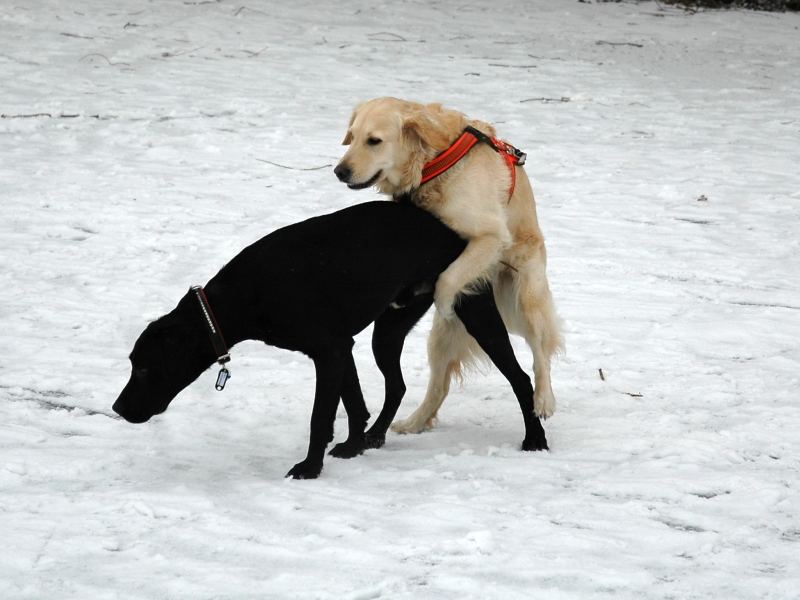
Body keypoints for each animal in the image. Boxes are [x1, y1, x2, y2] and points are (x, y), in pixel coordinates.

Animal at [112, 202, 548, 478]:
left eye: (145, 368)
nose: (117, 408)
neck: (240, 296)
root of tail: (454, 233)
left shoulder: (329, 351)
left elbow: (321, 416)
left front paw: (310, 468)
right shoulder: (343, 348)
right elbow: (354, 405)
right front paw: (353, 445)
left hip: (476, 312)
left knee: (521, 378)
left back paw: (535, 438)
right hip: (388, 329)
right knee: (397, 385)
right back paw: (375, 438)